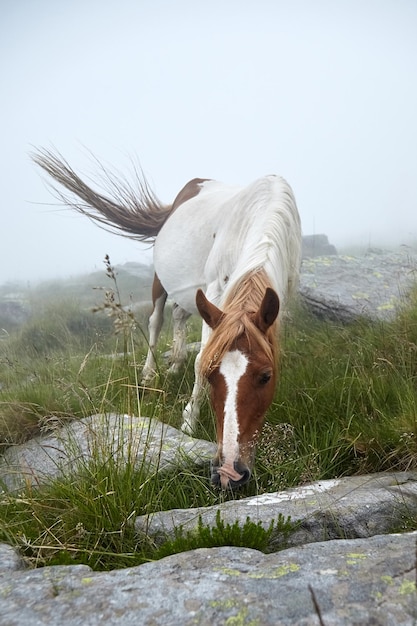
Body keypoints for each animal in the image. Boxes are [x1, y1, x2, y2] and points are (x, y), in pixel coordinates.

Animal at [31, 150, 300, 488]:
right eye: (212, 375)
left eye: (266, 376)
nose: (228, 472)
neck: (265, 216)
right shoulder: (215, 291)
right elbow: (200, 355)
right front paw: (189, 420)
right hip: (160, 281)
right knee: (156, 321)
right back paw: (149, 373)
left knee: (180, 315)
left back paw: (174, 364)